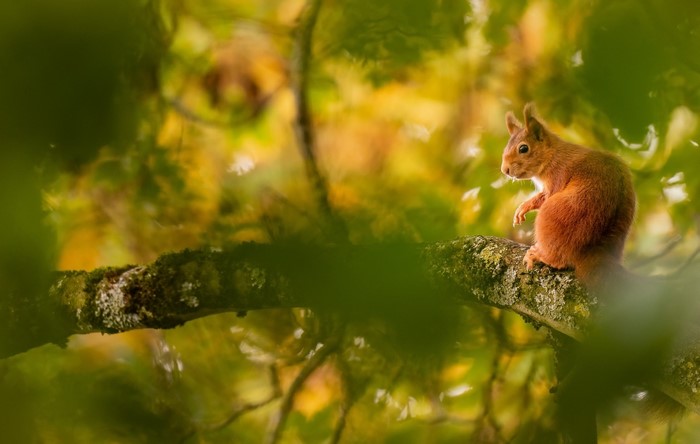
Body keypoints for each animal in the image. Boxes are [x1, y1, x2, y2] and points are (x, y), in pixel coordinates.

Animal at [500, 103, 636, 288]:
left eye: (523, 148)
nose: (505, 170)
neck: (553, 154)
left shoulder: (558, 174)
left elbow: (545, 197)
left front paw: (524, 207)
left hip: (553, 215)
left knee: (559, 260)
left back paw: (540, 256)